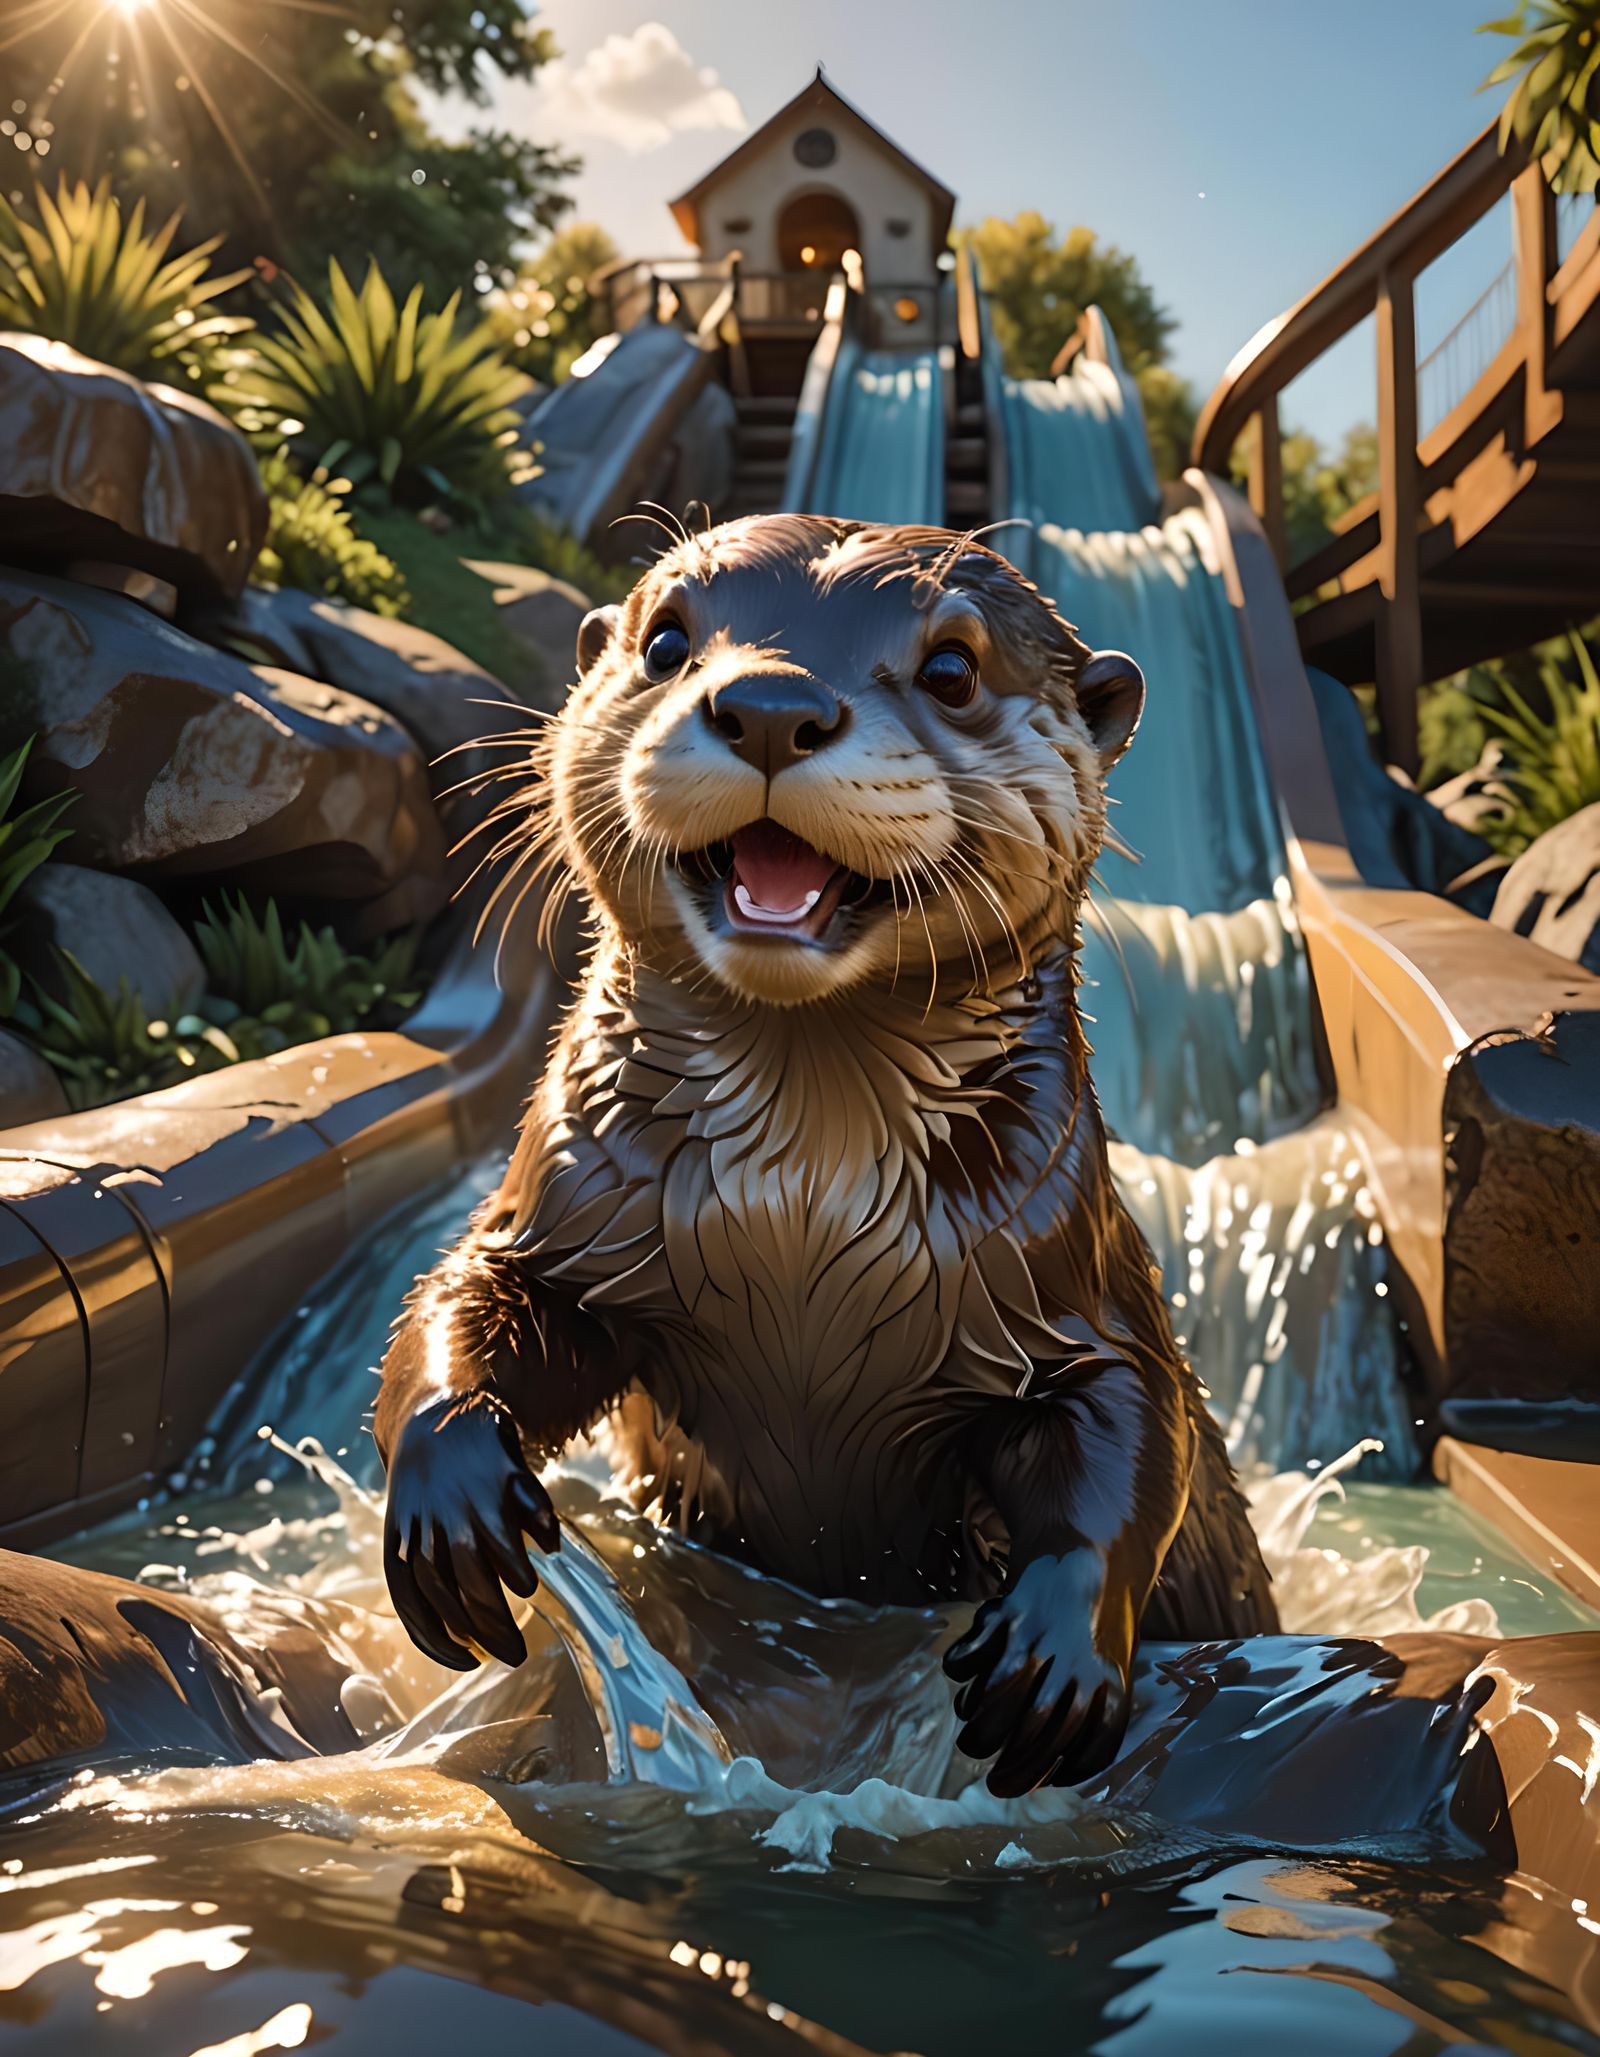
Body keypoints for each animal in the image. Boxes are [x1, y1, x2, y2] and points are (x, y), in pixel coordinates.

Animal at [375, 515, 1277, 1794]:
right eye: (666, 639)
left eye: (952, 667)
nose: (768, 703)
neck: (797, 1225)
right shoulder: (570, 1206)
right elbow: (473, 1292)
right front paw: (453, 1507)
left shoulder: (1071, 1270)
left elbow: (1135, 1428)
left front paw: (1051, 1657)